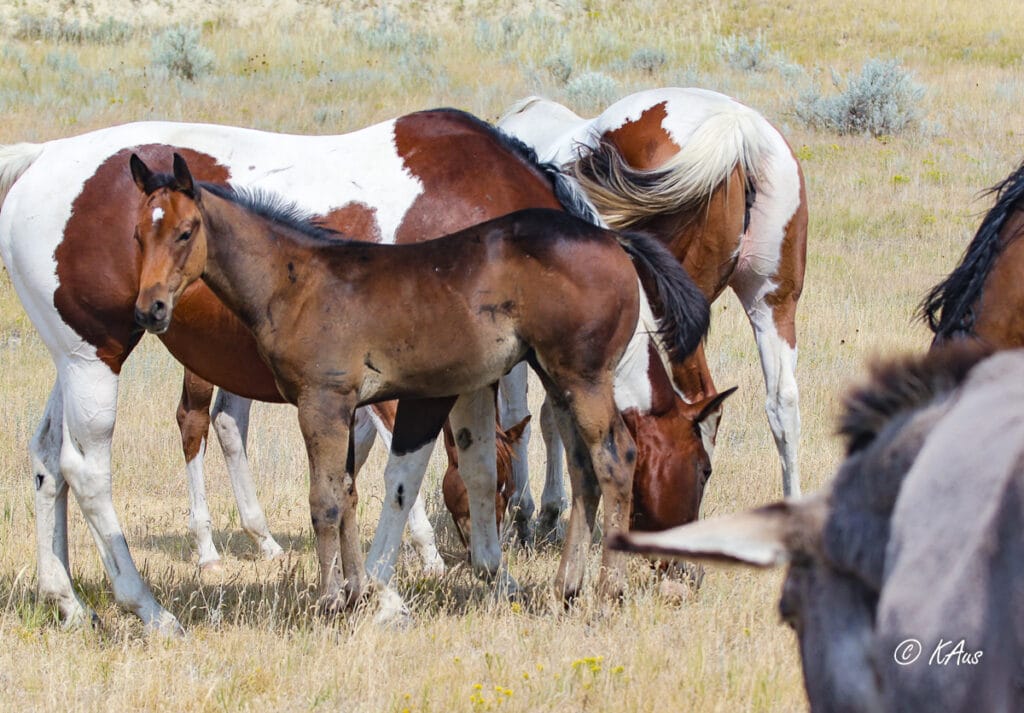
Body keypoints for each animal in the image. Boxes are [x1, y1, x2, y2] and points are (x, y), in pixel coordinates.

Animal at [0, 109, 716, 633]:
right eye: (705, 469)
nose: (692, 573)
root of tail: (41, 159)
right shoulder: (417, 391)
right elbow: (398, 481)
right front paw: (380, 591)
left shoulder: (455, 383)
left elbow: (467, 472)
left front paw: (492, 577)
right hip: (94, 356)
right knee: (87, 470)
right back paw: (147, 608)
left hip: (74, 358)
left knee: (46, 461)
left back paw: (70, 601)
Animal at [497, 87, 808, 540]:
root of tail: (736, 127)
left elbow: (522, 411)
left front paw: (530, 510)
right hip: (772, 302)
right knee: (781, 402)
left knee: (698, 401)